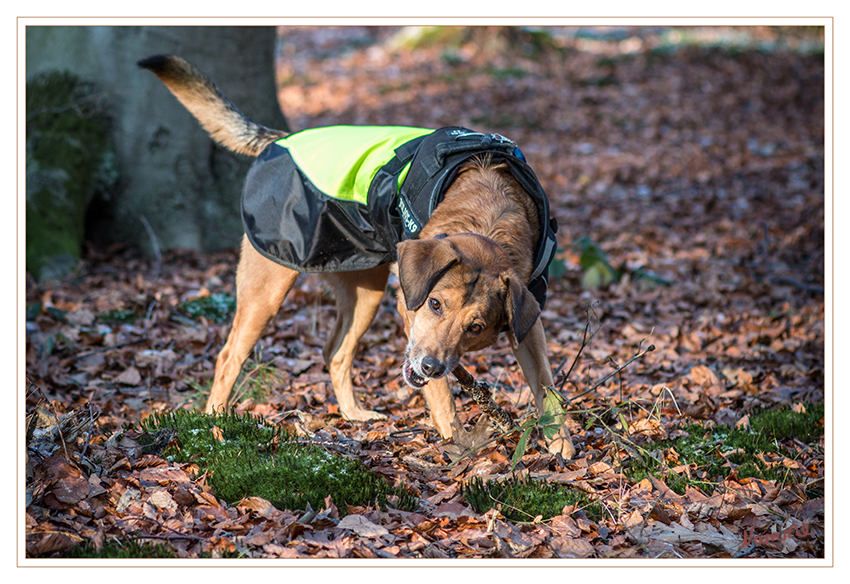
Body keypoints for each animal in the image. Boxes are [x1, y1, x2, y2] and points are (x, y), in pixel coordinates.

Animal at [141, 54, 576, 458]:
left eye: (476, 327)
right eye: (435, 304)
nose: (430, 366)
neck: (490, 218)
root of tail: (282, 139)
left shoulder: (529, 323)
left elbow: (546, 385)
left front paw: (561, 444)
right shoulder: (410, 310)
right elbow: (442, 394)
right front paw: (458, 438)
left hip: (366, 291)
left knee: (335, 353)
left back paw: (354, 416)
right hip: (269, 288)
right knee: (229, 356)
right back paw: (214, 426)